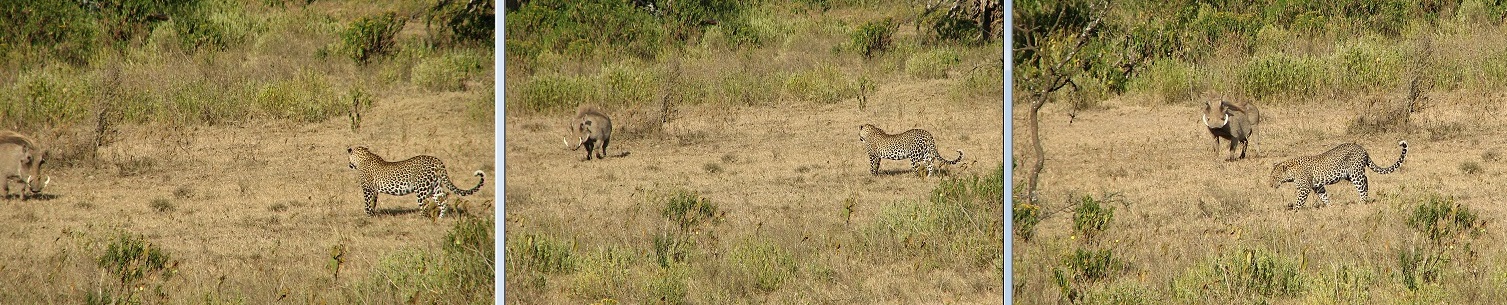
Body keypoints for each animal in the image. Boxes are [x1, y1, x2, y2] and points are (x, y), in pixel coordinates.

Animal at [345, 146, 482, 217]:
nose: (349, 164)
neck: (363, 158)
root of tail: (435, 159)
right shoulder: (374, 190)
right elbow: (373, 202)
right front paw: (372, 214)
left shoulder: (367, 189)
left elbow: (367, 203)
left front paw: (367, 215)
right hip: (434, 187)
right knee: (443, 201)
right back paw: (441, 218)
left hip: (421, 189)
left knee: (425, 205)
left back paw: (422, 219)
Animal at [1271, 141, 1410, 209]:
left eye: (1275, 178)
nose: (1271, 185)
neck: (1292, 171)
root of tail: (1363, 150)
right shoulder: (1318, 186)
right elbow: (1324, 196)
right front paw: (1330, 207)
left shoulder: (1304, 188)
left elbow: (1299, 201)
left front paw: (1294, 211)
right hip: (1350, 174)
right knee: (1366, 179)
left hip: (1355, 173)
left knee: (1363, 183)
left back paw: (1362, 202)